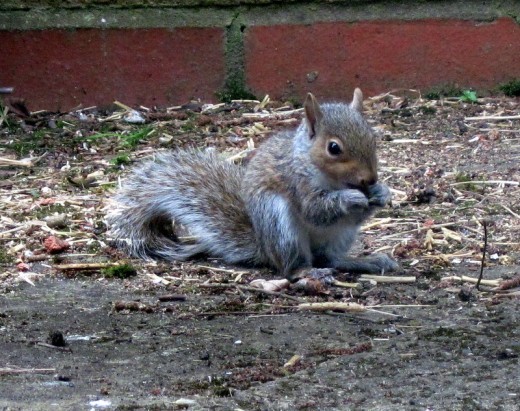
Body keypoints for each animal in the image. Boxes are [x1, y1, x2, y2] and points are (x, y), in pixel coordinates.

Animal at [105, 88, 398, 282]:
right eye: (333, 148)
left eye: (373, 138)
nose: (370, 179)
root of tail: (264, 248)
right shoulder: (295, 182)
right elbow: (316, 209)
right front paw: (351, 198)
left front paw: (382, 192)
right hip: (280, 225)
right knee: (291, 267)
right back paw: (309, 271)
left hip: (341, 236)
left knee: (331, 258)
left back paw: (366, 261)